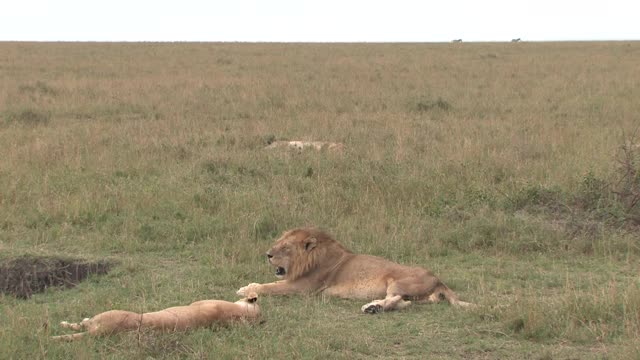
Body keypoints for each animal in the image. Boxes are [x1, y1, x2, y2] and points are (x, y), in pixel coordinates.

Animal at [238, 229, 472, 314]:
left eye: (286, 247)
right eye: (278, 242)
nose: (268, 254)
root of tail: (438, 279)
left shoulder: (303, 287)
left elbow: (272, 287)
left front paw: (247, 290)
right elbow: (272, 283)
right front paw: (247, 287)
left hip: (398, 281)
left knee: (396, 299)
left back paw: (372, 307)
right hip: (418, 296)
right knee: (405, 303)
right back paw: (374, 307)